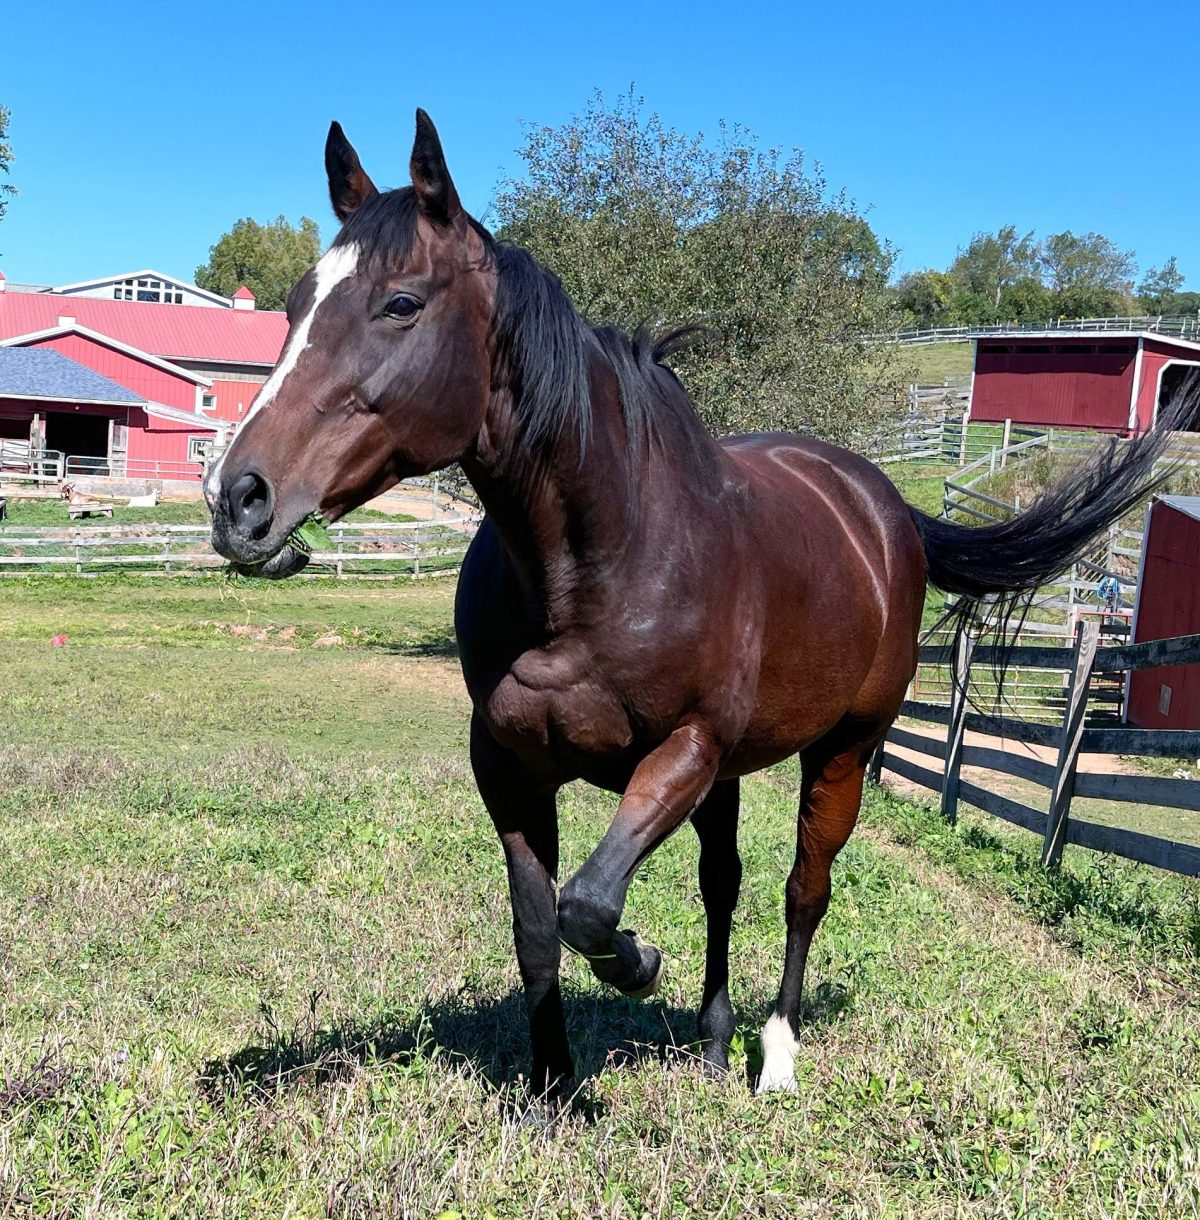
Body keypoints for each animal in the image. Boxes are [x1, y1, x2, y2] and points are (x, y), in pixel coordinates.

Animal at [206, 111, 1175, 1097]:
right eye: (294, 303)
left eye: (400, 303)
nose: (237, 497)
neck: (601, 563)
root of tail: (884, 509)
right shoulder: (509, 765)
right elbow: (538, 926)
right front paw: (555, 1091)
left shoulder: (684, 750)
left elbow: (590, 906)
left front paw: (637, 962)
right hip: (735, 773)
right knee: (724, 881)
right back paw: (712, 1039)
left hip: (838, 750)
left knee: (802, 889)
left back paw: (774, 1050)